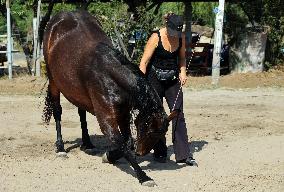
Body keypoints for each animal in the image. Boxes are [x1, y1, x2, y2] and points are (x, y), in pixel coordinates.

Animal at [42, 10, 176, 186]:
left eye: (161, 132)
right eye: (151, 131)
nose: (140, 152)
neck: (107, 72)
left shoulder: (123, 114)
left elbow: (127, 142)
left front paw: (109, 156)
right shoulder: (106, 119)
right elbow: (123, 145)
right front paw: (143, 176)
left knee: (81, 113)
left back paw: (87, 143)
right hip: (53, 82)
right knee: (57, 112)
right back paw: (61, 148)